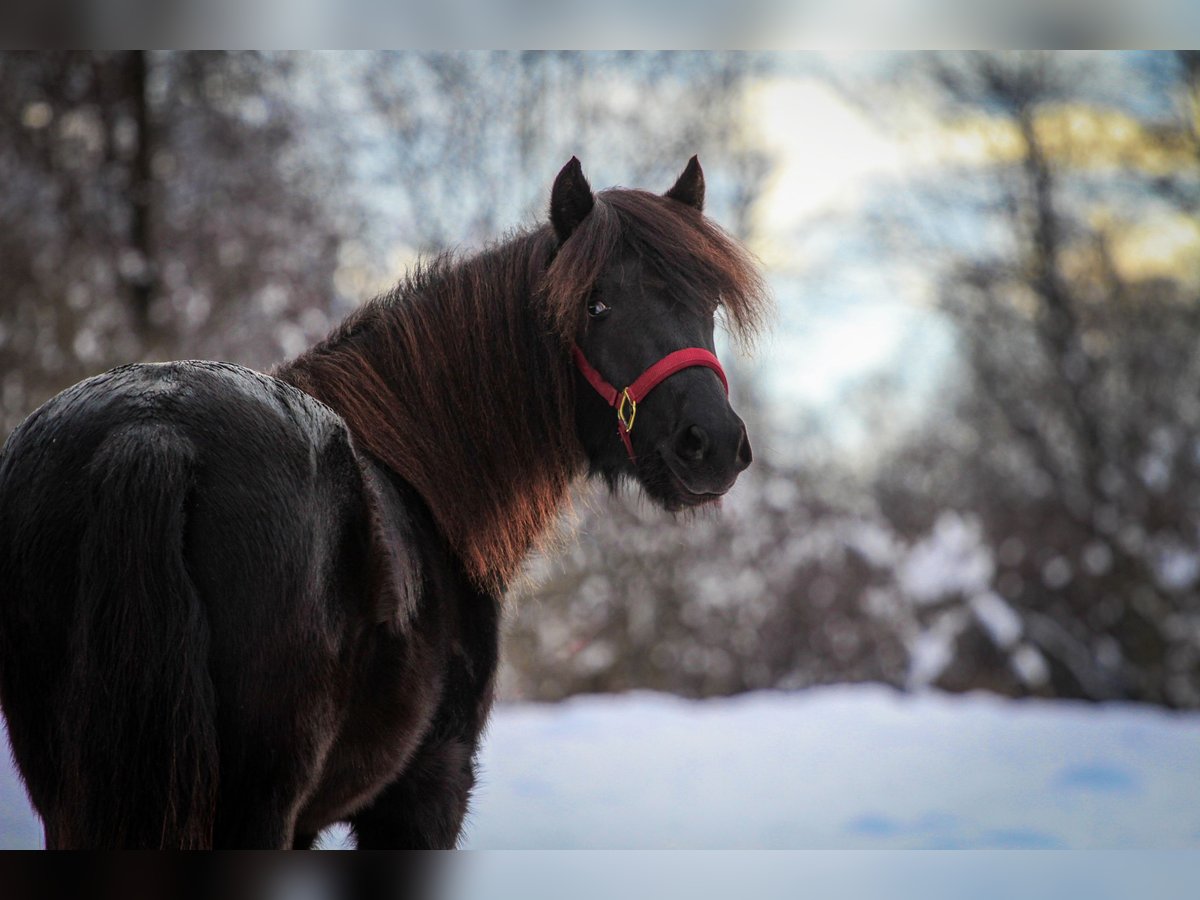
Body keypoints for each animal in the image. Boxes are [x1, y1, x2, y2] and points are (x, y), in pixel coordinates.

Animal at [0, 158, 768, 849]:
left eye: (707, 305)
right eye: (594, 303)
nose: (712, 444)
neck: (420, 476)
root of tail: (151, 428)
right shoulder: (428, 785)